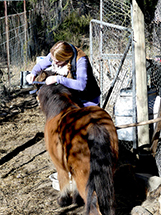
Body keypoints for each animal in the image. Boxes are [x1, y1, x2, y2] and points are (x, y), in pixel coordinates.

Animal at [37, 72, 118, 215]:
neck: (60, 107)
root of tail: (93, 125)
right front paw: (76, 199)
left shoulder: (59, 164)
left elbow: (63, 179)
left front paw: (63, 200)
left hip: (84, 176)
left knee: (93, 204)